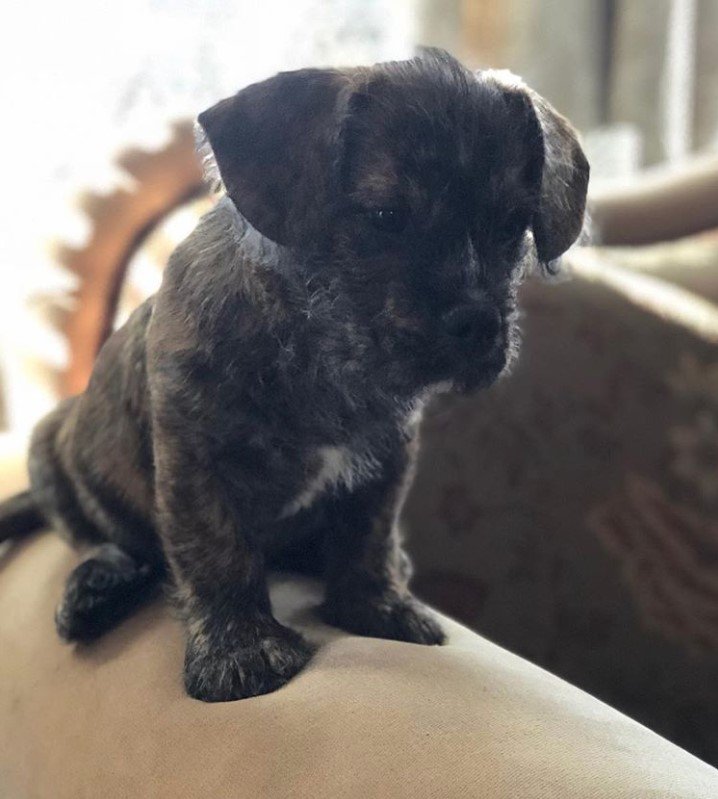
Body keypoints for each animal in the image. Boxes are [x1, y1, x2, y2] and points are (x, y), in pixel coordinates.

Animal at [0, 50, 592, 700]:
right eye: (385, 216)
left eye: (512, 225)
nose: (478, 323)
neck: (323, 348)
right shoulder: (196, 457)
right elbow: (218, 551)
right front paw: (241, 649)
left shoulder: (388, 460)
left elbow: (369, 536)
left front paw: (377, 605)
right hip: (50, 450)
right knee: (98, 539)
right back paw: (95, 588)